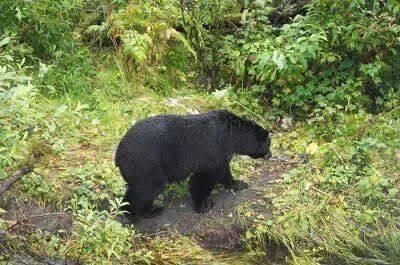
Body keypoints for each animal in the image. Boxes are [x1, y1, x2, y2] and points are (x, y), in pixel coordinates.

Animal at [115, 109, 272, 217]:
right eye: (269, 144)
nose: (270, 155)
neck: (233, 135)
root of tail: (118, 154)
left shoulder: (223, 153)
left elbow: (224, 170)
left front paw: (238, 184)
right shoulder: (214, 149)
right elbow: (204, 177)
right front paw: (203, 205)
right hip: (147, 165)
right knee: (144, 190)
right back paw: (141, 211)